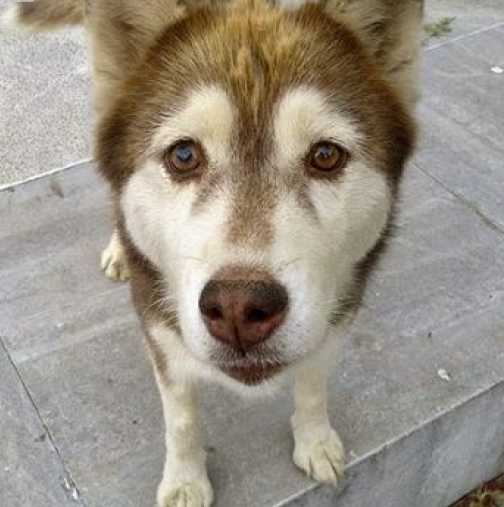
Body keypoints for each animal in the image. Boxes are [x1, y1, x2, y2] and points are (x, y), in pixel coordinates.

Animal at [3, 0, 424, 504]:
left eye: (325, 155)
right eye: (184, 156)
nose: (239, 307)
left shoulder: (336, 313)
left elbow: (312, 383)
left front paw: (315, 440)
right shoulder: (160, 331)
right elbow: (182, 420)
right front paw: (186, 481)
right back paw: (120, 247)